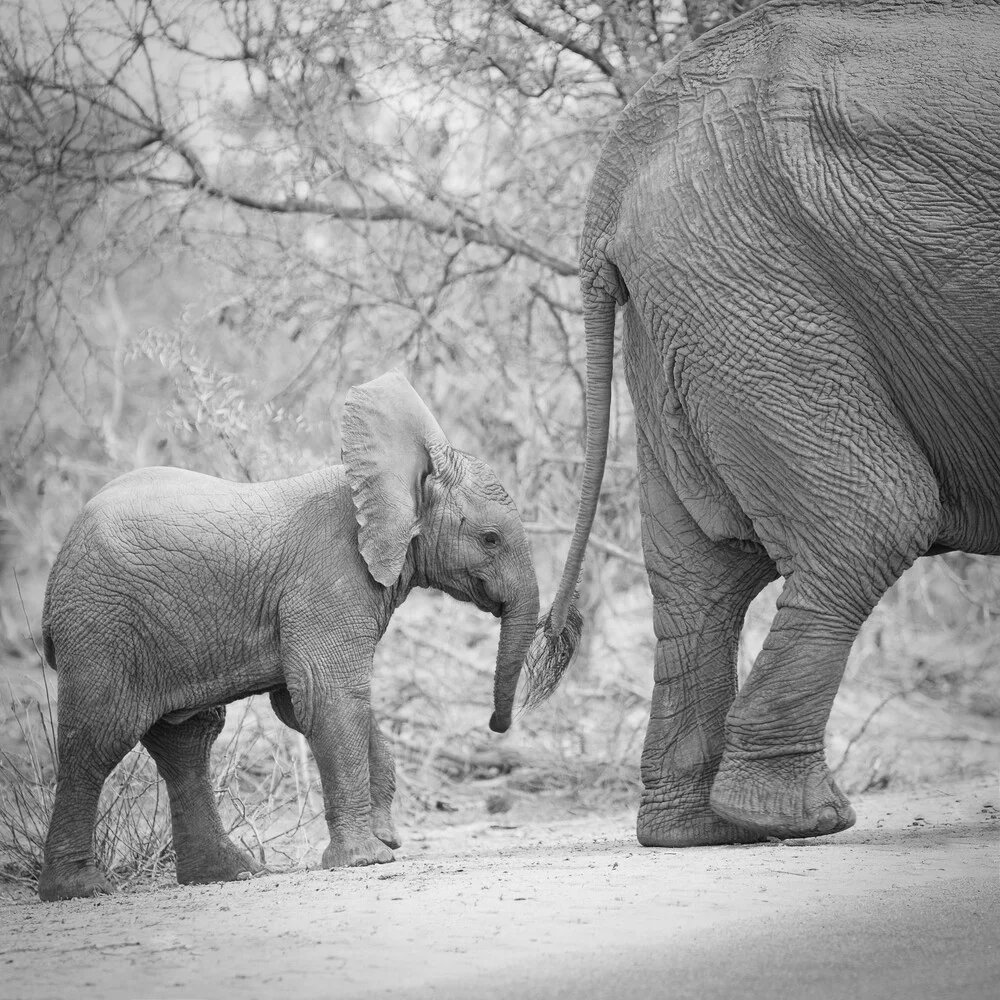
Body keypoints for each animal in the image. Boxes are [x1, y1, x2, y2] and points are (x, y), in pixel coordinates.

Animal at [37, 372, 540, 904]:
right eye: (490, 539)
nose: (496, 726)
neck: (385, 480)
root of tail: (58, 567)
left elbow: (306, 705)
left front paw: (385, 837)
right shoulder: (329, 579)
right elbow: (328, 696)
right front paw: (368, 858)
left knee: (187, 740)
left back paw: (232, 873)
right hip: (100, 626)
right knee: (97, 739)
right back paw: (79, 889)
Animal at [532, 0, 1000, 844]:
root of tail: (621, 163)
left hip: (692, 302)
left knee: (699, 572)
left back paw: (693, 831)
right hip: (754, 283)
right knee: (872, 520)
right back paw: (802, 817)